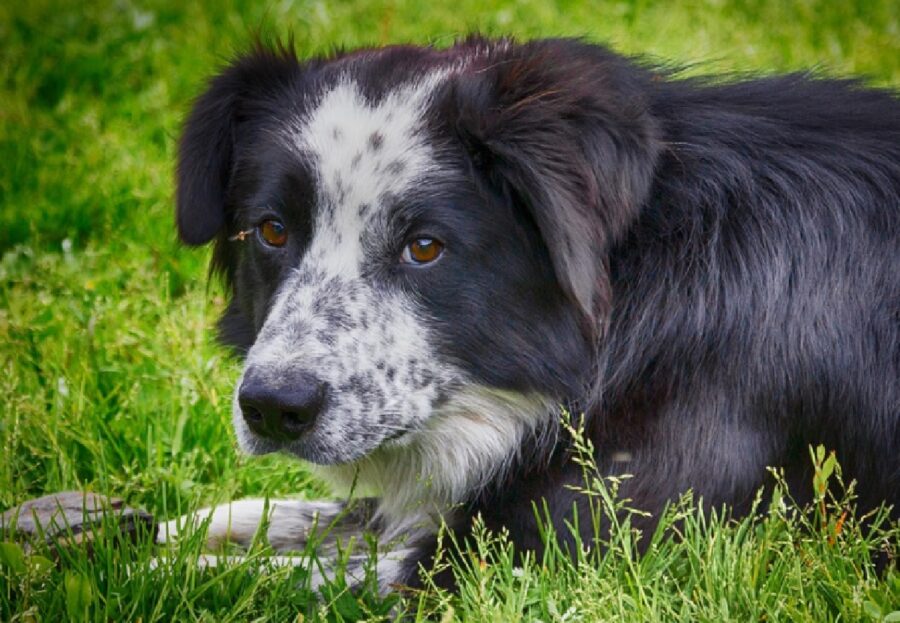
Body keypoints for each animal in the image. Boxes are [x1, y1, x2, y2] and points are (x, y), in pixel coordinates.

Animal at [169, 36, 900, 592]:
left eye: (424, 246)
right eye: (271, 230)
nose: (273, 408)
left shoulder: (566, 549)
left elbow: (271, 576)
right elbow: (305, 516)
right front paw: (156, 527)